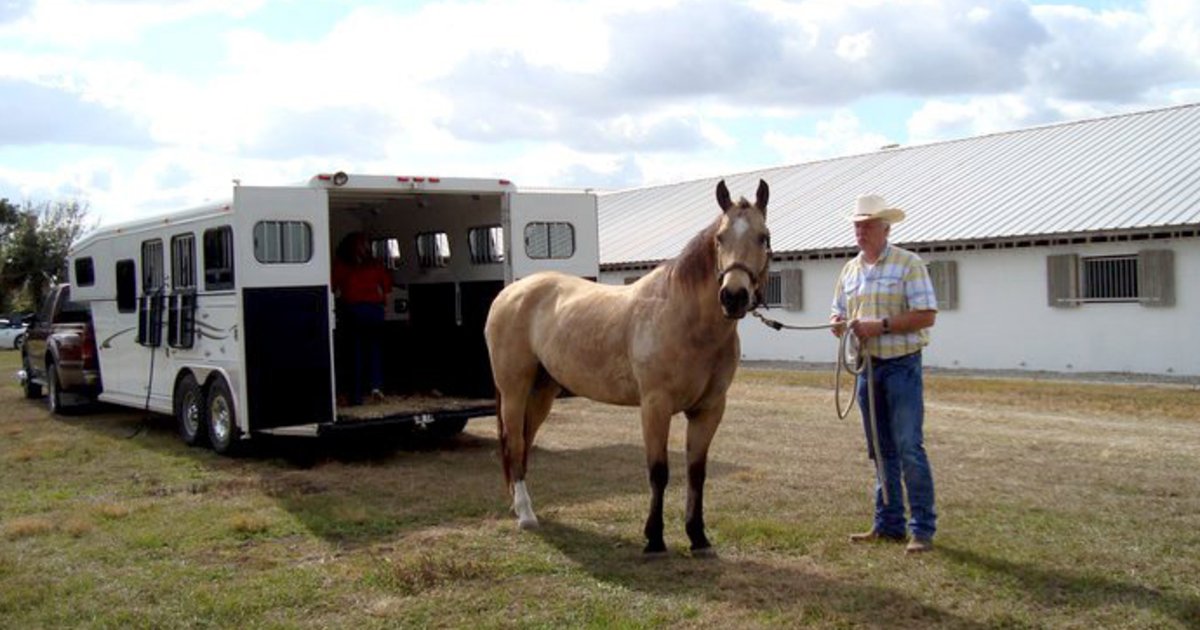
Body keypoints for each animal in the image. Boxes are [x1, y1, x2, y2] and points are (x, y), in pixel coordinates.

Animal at [484, 179, 771, 557]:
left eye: (763, 237)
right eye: (720, 238)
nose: (734, 296)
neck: (684, 319)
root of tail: (510, 294)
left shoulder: (709, 409)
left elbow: (696, 472)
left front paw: (698, 537)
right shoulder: (655, 405)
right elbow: (659, 471)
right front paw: (654, 538)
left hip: (542, 390)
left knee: (524, 442)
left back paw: (520, 506)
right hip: (514, 389)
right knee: (515, 442)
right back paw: (526, 516)